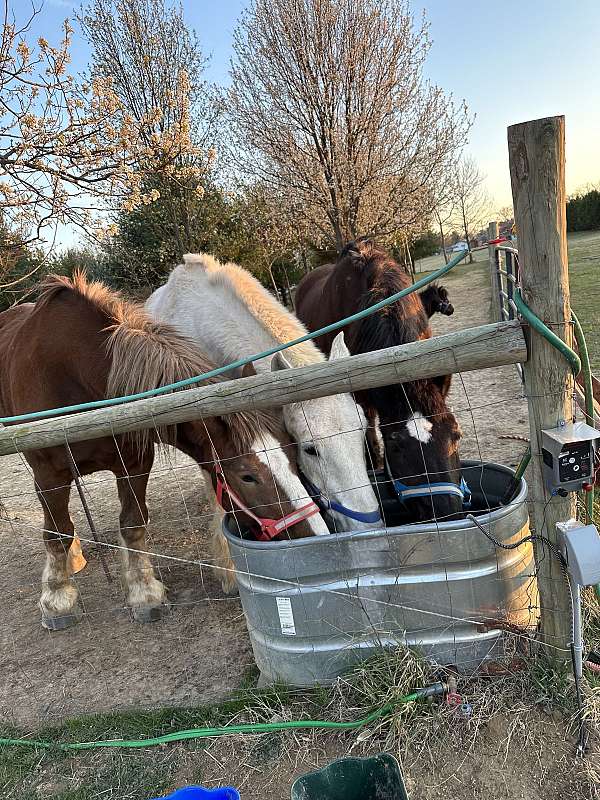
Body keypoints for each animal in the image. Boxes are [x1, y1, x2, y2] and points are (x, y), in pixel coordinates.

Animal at [0, 276, 328, 632]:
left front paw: (144, 593)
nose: (317, 534)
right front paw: (57, 601)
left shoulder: (133, 465)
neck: (76, 375)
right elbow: (56, 533)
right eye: (247, 476)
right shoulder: (50, 474)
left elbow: (133, 524)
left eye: (293, 456)